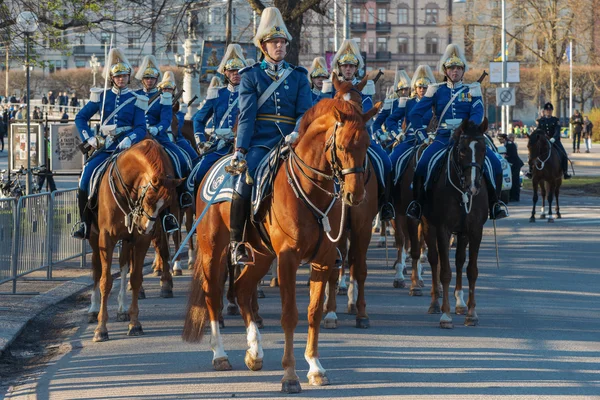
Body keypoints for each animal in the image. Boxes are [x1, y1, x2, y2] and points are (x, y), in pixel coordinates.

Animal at [85, 139, 182, 342]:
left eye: (167, 202)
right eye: (150, 198)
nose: (146, 227)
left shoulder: (139, 240)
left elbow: (136, 277)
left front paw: (134, 323)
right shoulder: (106, 238)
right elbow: (106, 281)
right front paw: (101, 328)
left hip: (128, 239)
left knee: (124, 266)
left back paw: (122, 309)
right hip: (94, 238)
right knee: (97, 269)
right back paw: (93, 309)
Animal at [183, 79, 380, 394]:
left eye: (368, 145)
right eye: (342, 145)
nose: (355, 195)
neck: (311, 190)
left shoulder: (323, 260)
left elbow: (313, 313)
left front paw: (315, 367)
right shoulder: (287, 259)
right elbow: (290, 315)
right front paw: (290, 375)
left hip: (261, 254)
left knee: (242, 289)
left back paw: (254, 352)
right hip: (213, 249)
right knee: (213, 294)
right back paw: (220, 354)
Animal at [414, 118, 490, 328]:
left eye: (484, 149)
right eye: (462, 150)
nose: (474, 186)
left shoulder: (475, 230)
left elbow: (471, 270)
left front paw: (471, 313)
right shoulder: (443, 229)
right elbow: (445, 271)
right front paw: (446, 315)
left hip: (462, 233)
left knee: (458, 261)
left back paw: (460, 303)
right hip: (427, 225)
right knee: (434, 259)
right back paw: (435, 303)